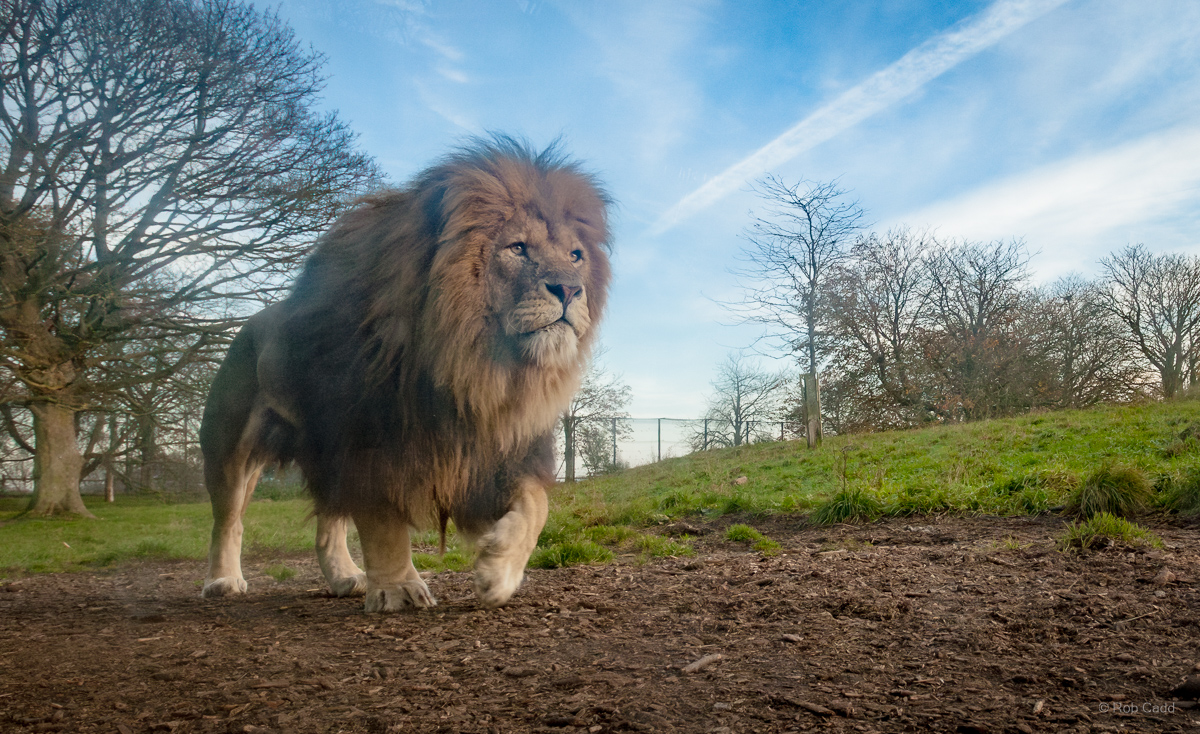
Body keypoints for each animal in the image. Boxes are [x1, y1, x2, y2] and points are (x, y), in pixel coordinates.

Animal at [199, 138, 611, 612]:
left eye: (575, 256)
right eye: (518, 248)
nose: (571, 289)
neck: (473, 368)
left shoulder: (501, 447)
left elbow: (537, 505)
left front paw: (498, 571)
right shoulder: (366, 441)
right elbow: (382, 522)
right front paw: (397, 587)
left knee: (329, 522)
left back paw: (345, 577)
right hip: (231, 449)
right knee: (229, 521)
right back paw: (223, 581)